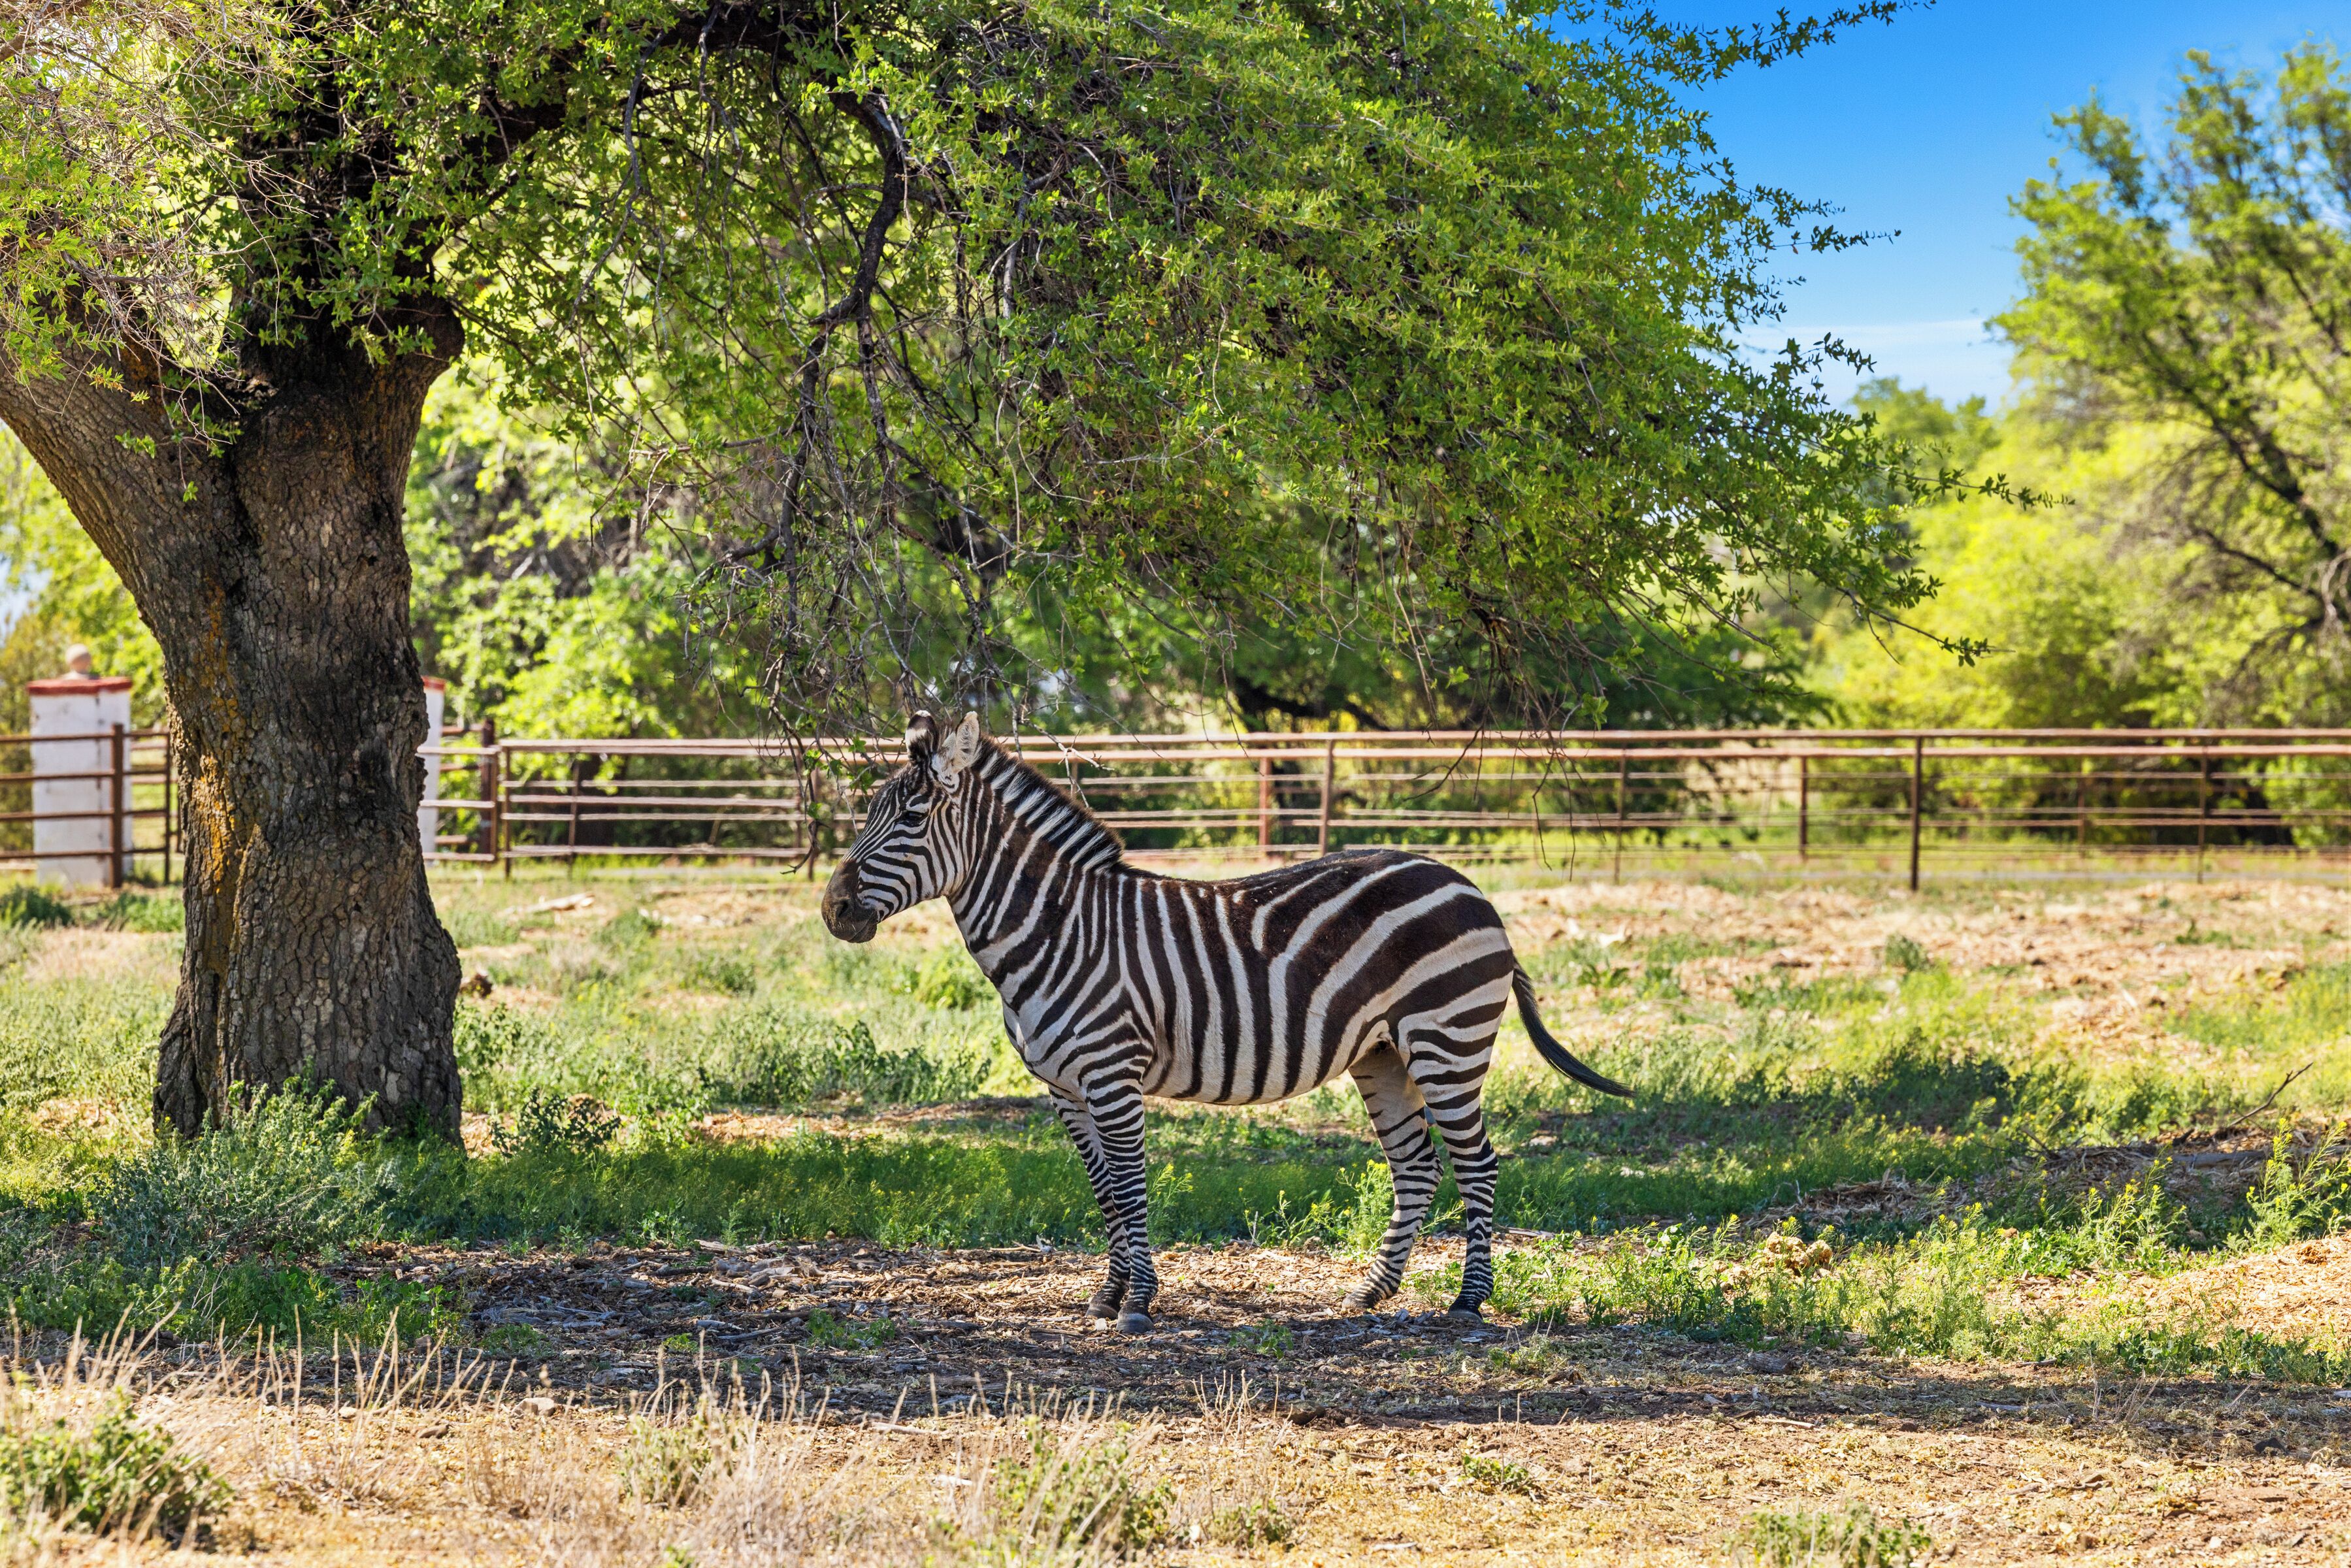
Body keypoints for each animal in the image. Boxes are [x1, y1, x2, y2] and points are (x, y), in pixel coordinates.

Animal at [819, 711, 1631, 1331]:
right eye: (867, 815)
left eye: (912, 816)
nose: (833, 909)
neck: (1058, 929)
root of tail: (1466, 884)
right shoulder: (1065, 1090)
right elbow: (1103, 1191)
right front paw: (1107, 1295)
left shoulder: (1111, 1074)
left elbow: (1130, 1185)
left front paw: (1138, 1303)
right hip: (1383, 1054)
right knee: (1417, 1165)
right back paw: (1371, 1291)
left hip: (1447, 1040)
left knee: (1476, 1162)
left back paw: (1468, 1301)